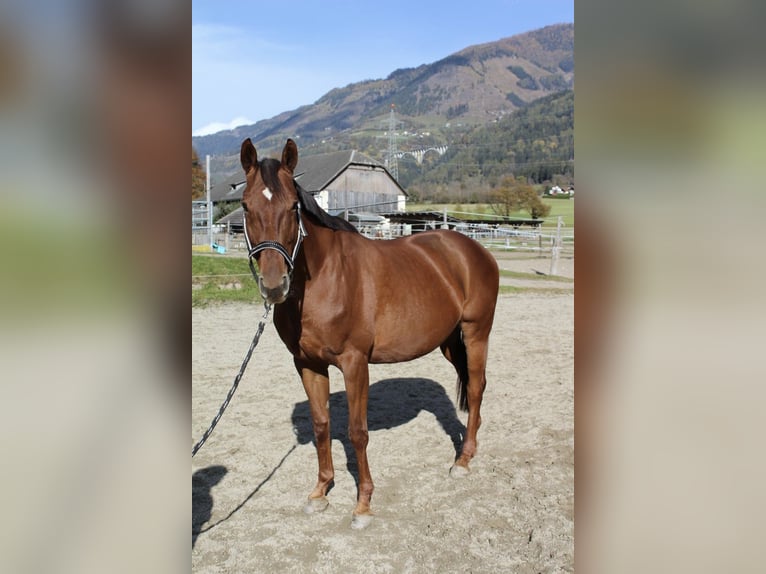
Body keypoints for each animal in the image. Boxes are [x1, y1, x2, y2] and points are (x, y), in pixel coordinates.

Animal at [242, 140, 504, 532]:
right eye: (246, 205)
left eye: (293, 206)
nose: (275, 285)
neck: (326, 277)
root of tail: (472, 249)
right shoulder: (307, 364)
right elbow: (322, 425)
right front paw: (320, 492)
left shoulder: (355, 363)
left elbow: (357, 432)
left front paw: (363, 505)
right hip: (449, 342)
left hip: (476, 334)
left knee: (475, 389)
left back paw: (463, 461)